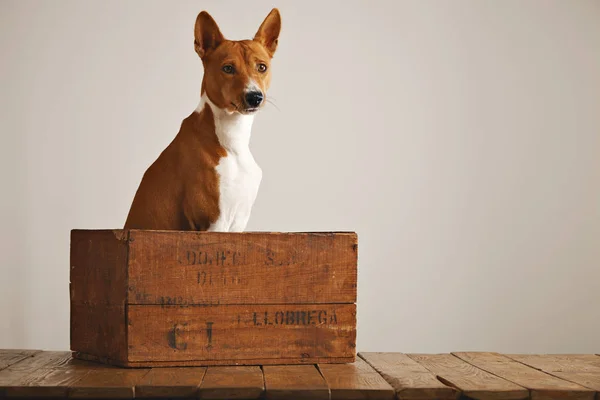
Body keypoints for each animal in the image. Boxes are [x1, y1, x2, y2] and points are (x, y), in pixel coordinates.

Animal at [123, 8, 282, 231]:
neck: (232, 141)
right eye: (228, 68)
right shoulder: (214, 221)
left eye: (262, 67)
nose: (254, 96)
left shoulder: (239, 222)